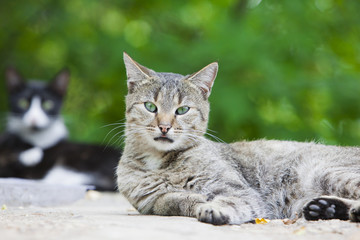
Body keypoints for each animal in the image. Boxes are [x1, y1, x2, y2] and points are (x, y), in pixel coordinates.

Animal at [116, 53, 360, 225]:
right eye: (150, 107)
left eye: (182, 110)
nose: (165, 126)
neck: (160, 163)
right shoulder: (148, 202)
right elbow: (168, 201)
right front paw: (192, 200)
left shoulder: (239, 190)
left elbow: (230, 200)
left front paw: (214, 208)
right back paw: (327, 208)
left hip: (324, 171)